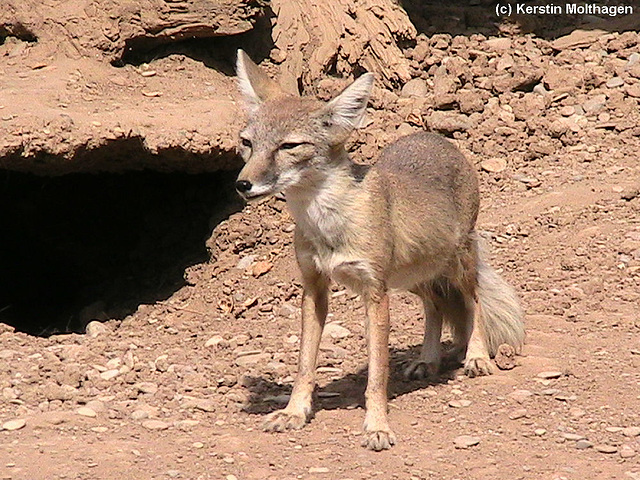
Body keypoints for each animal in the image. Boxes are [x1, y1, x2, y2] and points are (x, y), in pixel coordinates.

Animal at [232, 50, 524, 452]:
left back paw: (477, 356)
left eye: (288, 146)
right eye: (248, 143)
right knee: (434, 305)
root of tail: (431, 135)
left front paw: (377, 426)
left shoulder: (375, 292)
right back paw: (427, 360)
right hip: (413, 276)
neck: (327, 223)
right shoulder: (314, 288)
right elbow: (305, 364)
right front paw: (294, 412)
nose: (242, 184)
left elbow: (377, 373)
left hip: (457, 264)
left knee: (473, 301)